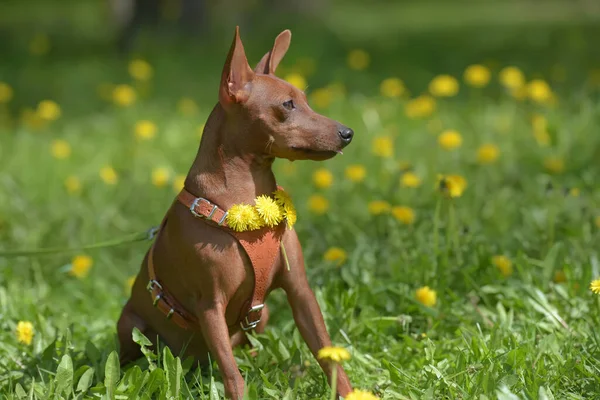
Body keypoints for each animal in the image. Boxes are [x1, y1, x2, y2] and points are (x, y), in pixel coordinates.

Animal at [116, 26, 352, 398]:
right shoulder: (210, 306)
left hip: (262, 316)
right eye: (287, 105)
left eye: (306, 99)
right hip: (130, 326)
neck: (245, 199)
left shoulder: (300, 291)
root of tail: (195, 363)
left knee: (250, 347)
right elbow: (231, 374)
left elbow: (326, 353)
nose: (347, 133)